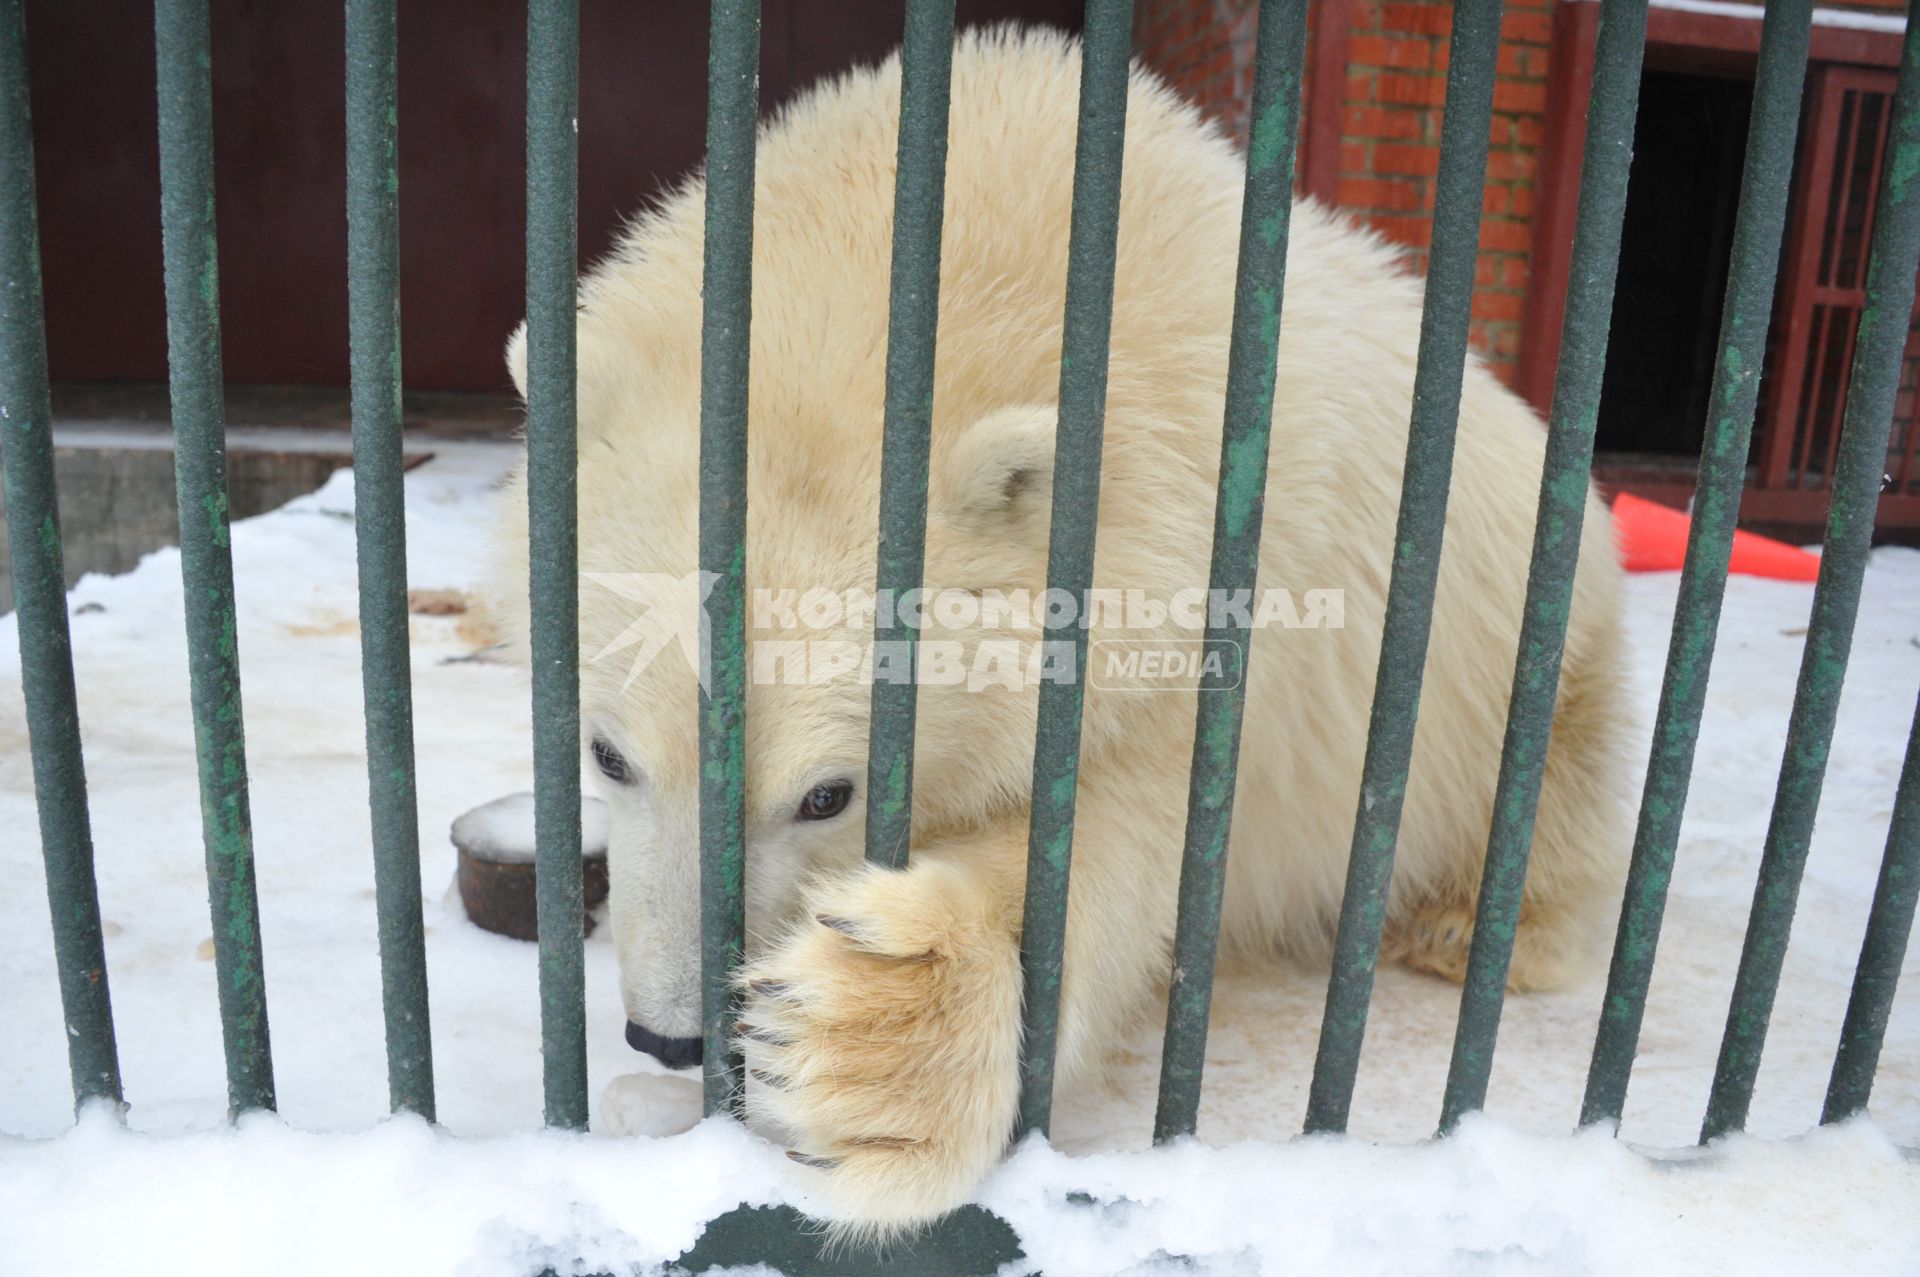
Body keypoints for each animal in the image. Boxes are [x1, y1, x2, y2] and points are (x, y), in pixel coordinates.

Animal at [487, 27, 1628, 1228]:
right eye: (608, 752)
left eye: (827, 794)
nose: (670, 1036)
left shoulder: (1209, 593)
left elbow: (1113, 844)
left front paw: (868, 1036)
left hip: (1530, 647)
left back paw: (1467, 927)